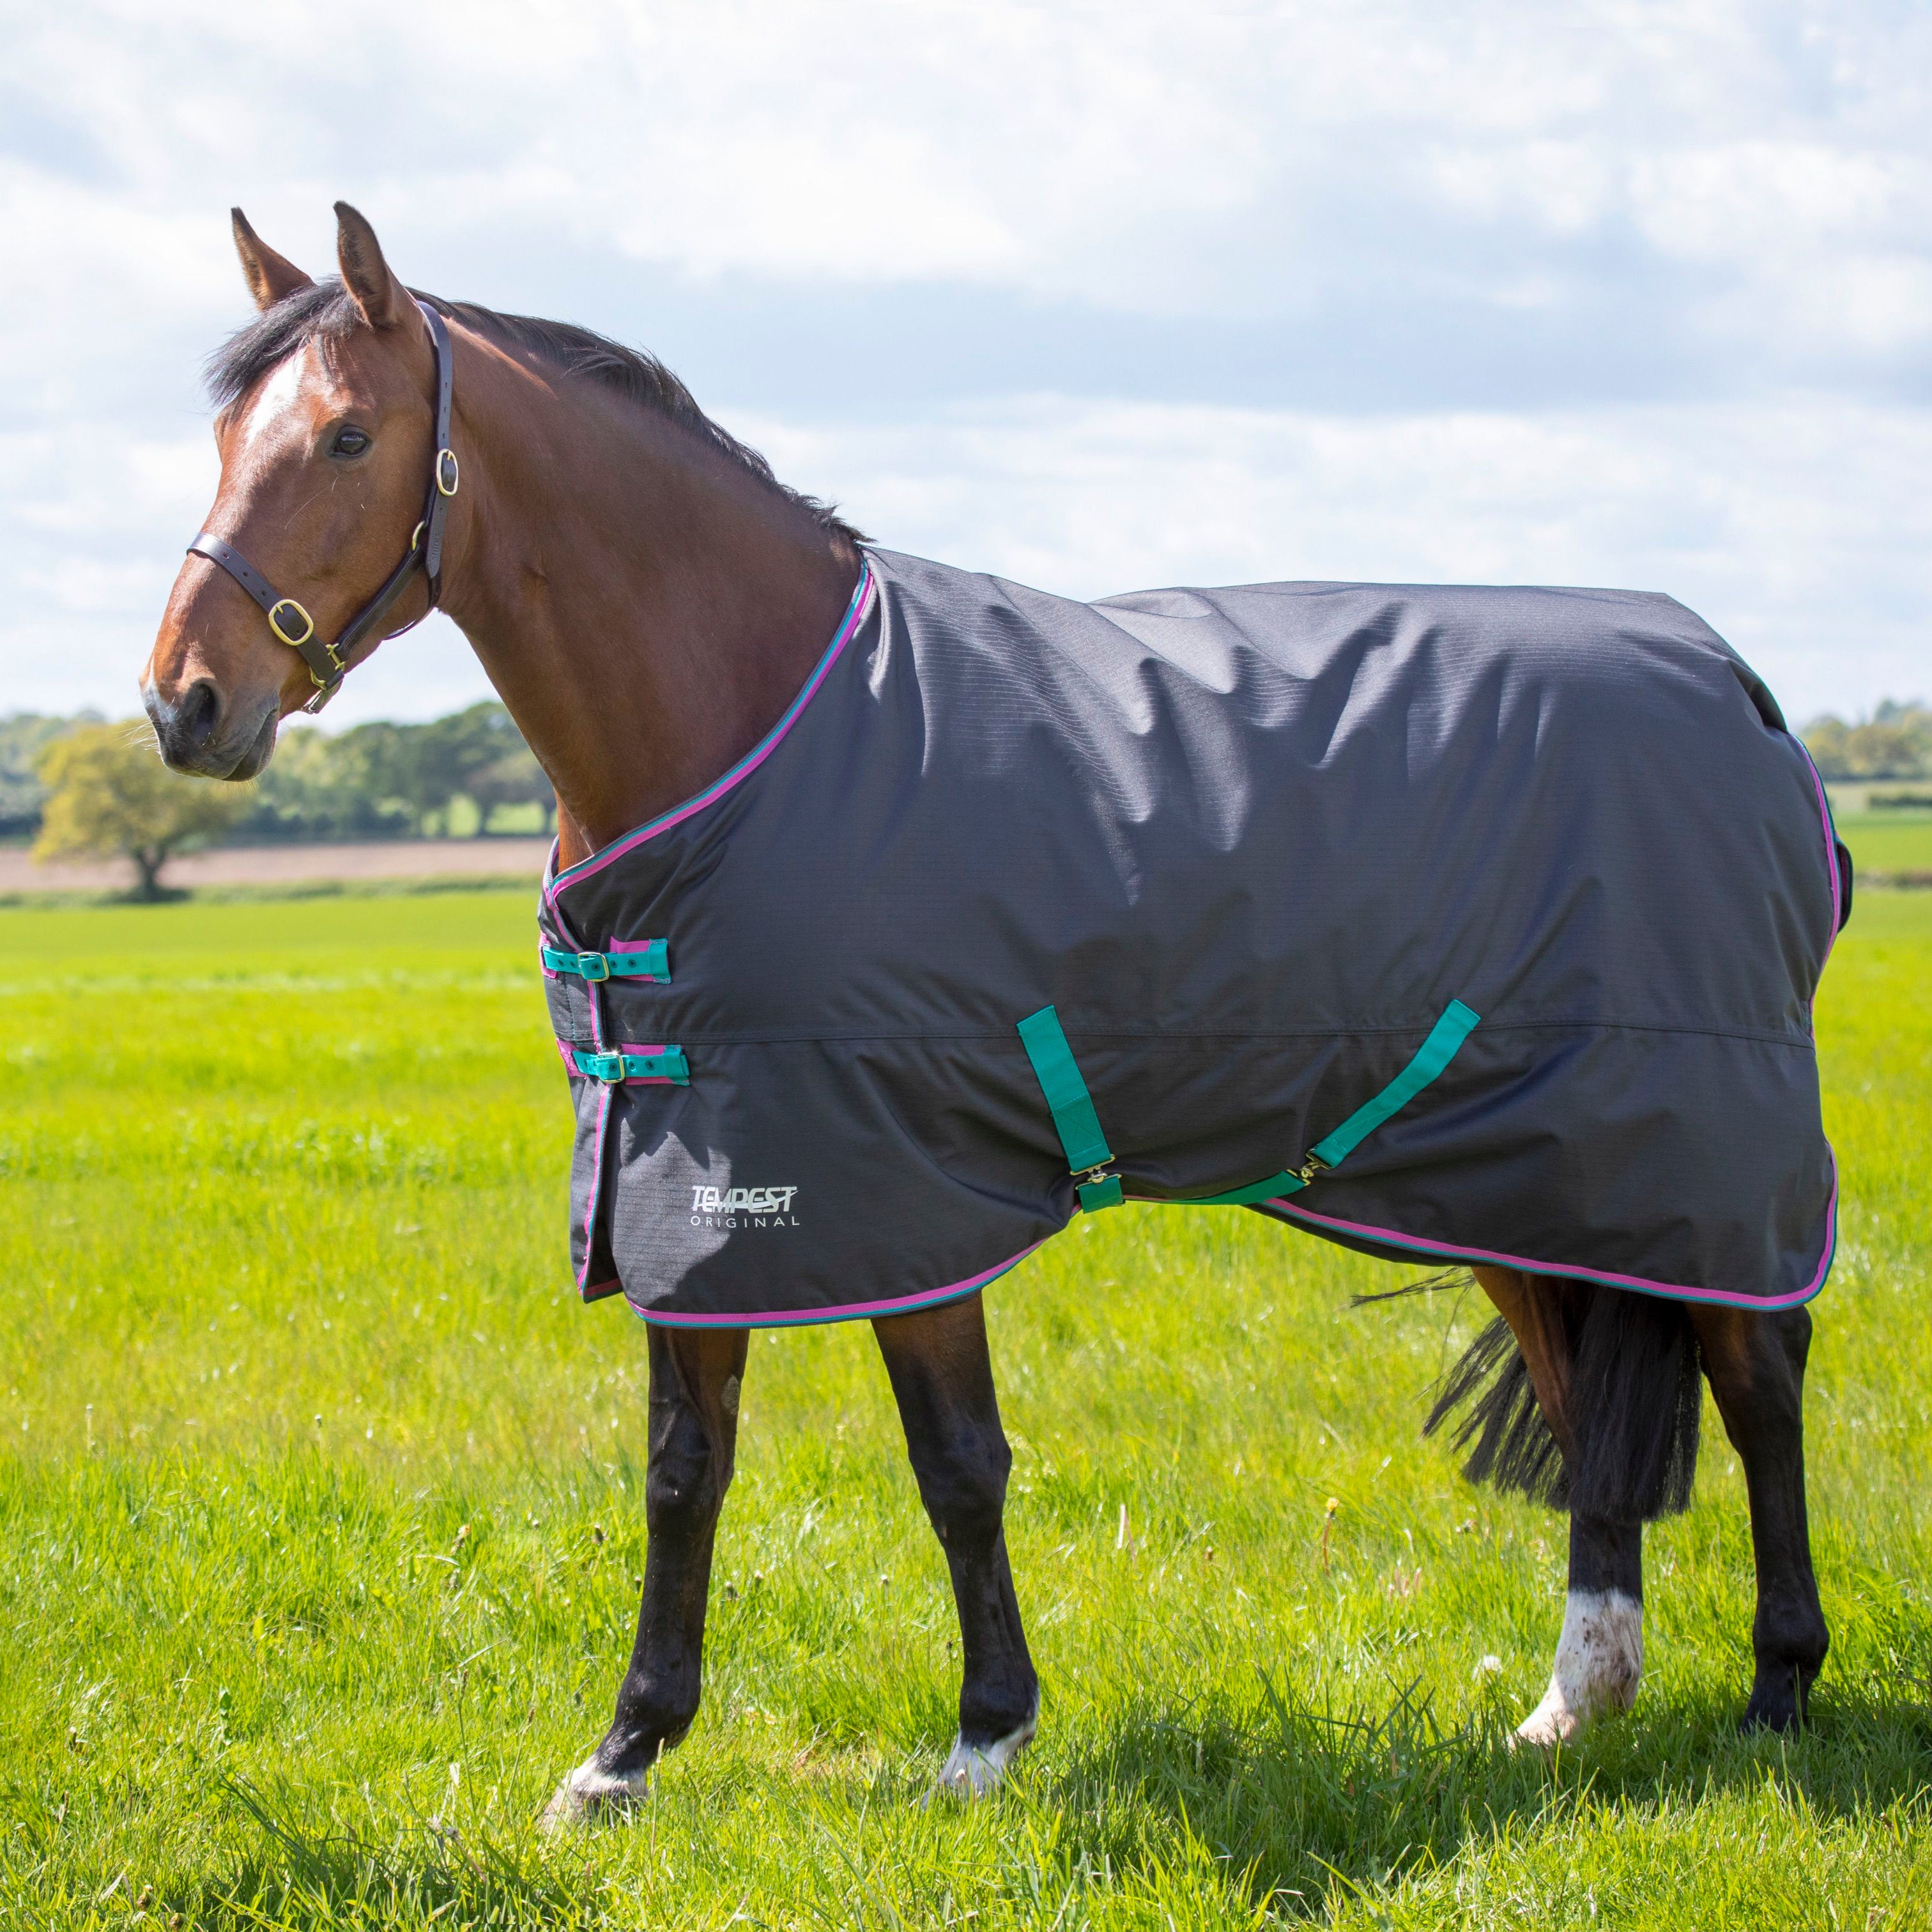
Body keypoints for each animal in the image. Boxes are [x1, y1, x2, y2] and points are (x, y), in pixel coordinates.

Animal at [141, 203, 1836, 1822]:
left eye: (347, 437)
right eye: (226, 439)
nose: (183, 703)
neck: (755, 724)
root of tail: (1739, 688)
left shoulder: (897, 1185)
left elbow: (955, 1463)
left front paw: (983, 1740)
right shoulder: (693, 1176)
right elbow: (686, 1469)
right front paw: (623, 1757)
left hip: (1696, 1154)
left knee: (1759, 1375)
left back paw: (1780, 1693)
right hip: (1530, 1166)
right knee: (1583, 1380)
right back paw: (1575, 1703)